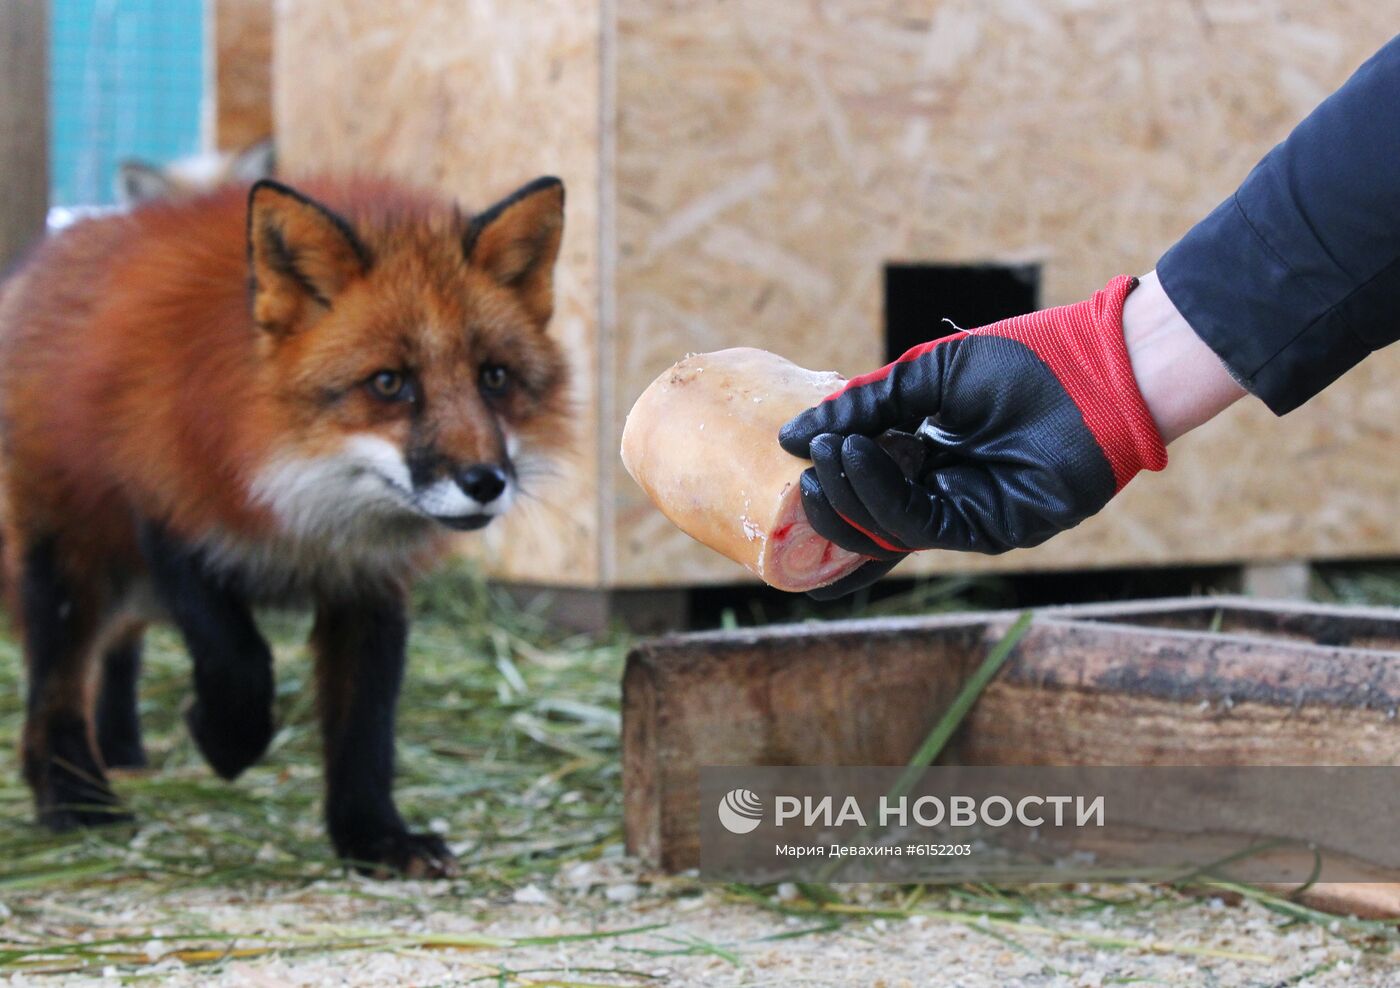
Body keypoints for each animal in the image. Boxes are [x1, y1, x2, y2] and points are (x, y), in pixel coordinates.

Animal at [1, 173, 568, 873]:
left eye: (494, 377)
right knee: (54, 692)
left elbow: (365, 728)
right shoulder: (170, 510)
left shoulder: (368, 585)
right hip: (70, 567)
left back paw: (122, 749)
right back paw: (75, 797)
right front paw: (225, 742)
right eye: (389, 383)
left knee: (116, 651)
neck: (309, 513)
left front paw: (373, 837)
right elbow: (239, 659)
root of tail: (50, 247)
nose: (486, 482)